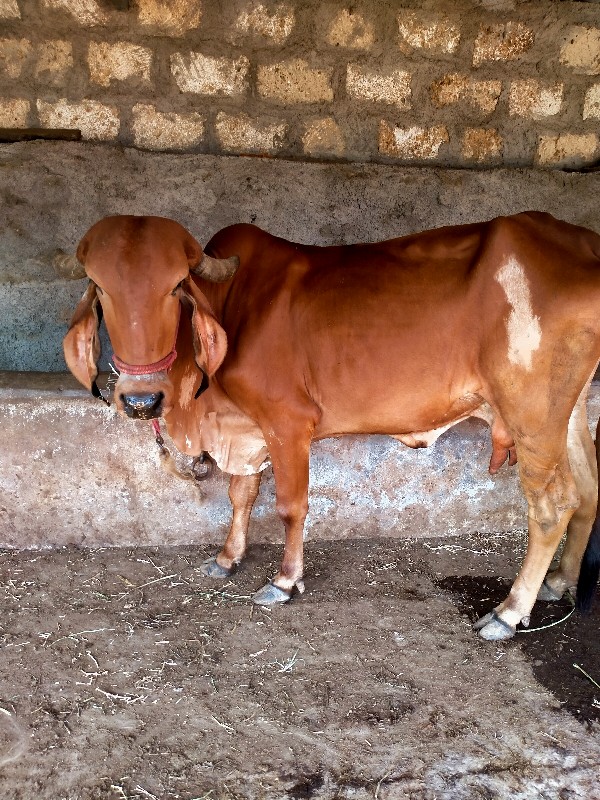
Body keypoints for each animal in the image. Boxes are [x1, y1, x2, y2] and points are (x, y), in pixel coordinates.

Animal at [62, 211, 600, 636]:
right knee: (587, 490)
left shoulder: (287, 424)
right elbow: (241, 495)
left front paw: (284, 580)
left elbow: (290, 507)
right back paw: (559, 582)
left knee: (551, 504)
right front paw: (228, 557)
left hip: (533, 415)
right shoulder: (247, 432)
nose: (141, 399)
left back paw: (509, 611)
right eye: (101, 288)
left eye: (175, 286)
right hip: (568, 412)